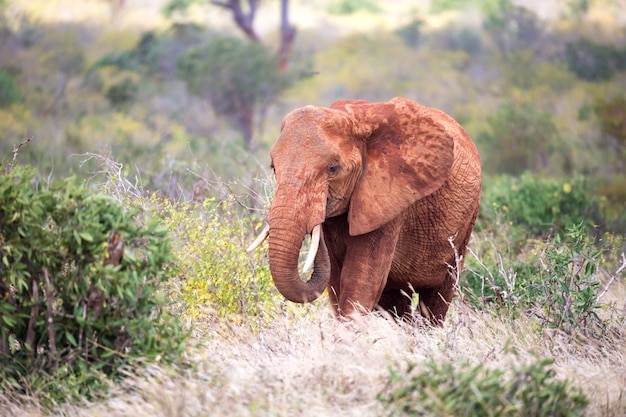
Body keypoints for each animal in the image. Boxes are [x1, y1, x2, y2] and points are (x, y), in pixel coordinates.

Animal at [246, 96, 480, 324]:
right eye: (273, 168)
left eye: (333, 168)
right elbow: (337, 282)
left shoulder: (388, 198)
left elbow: (360, 280)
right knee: (395, 303)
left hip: (465, 225)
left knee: (437, 297)